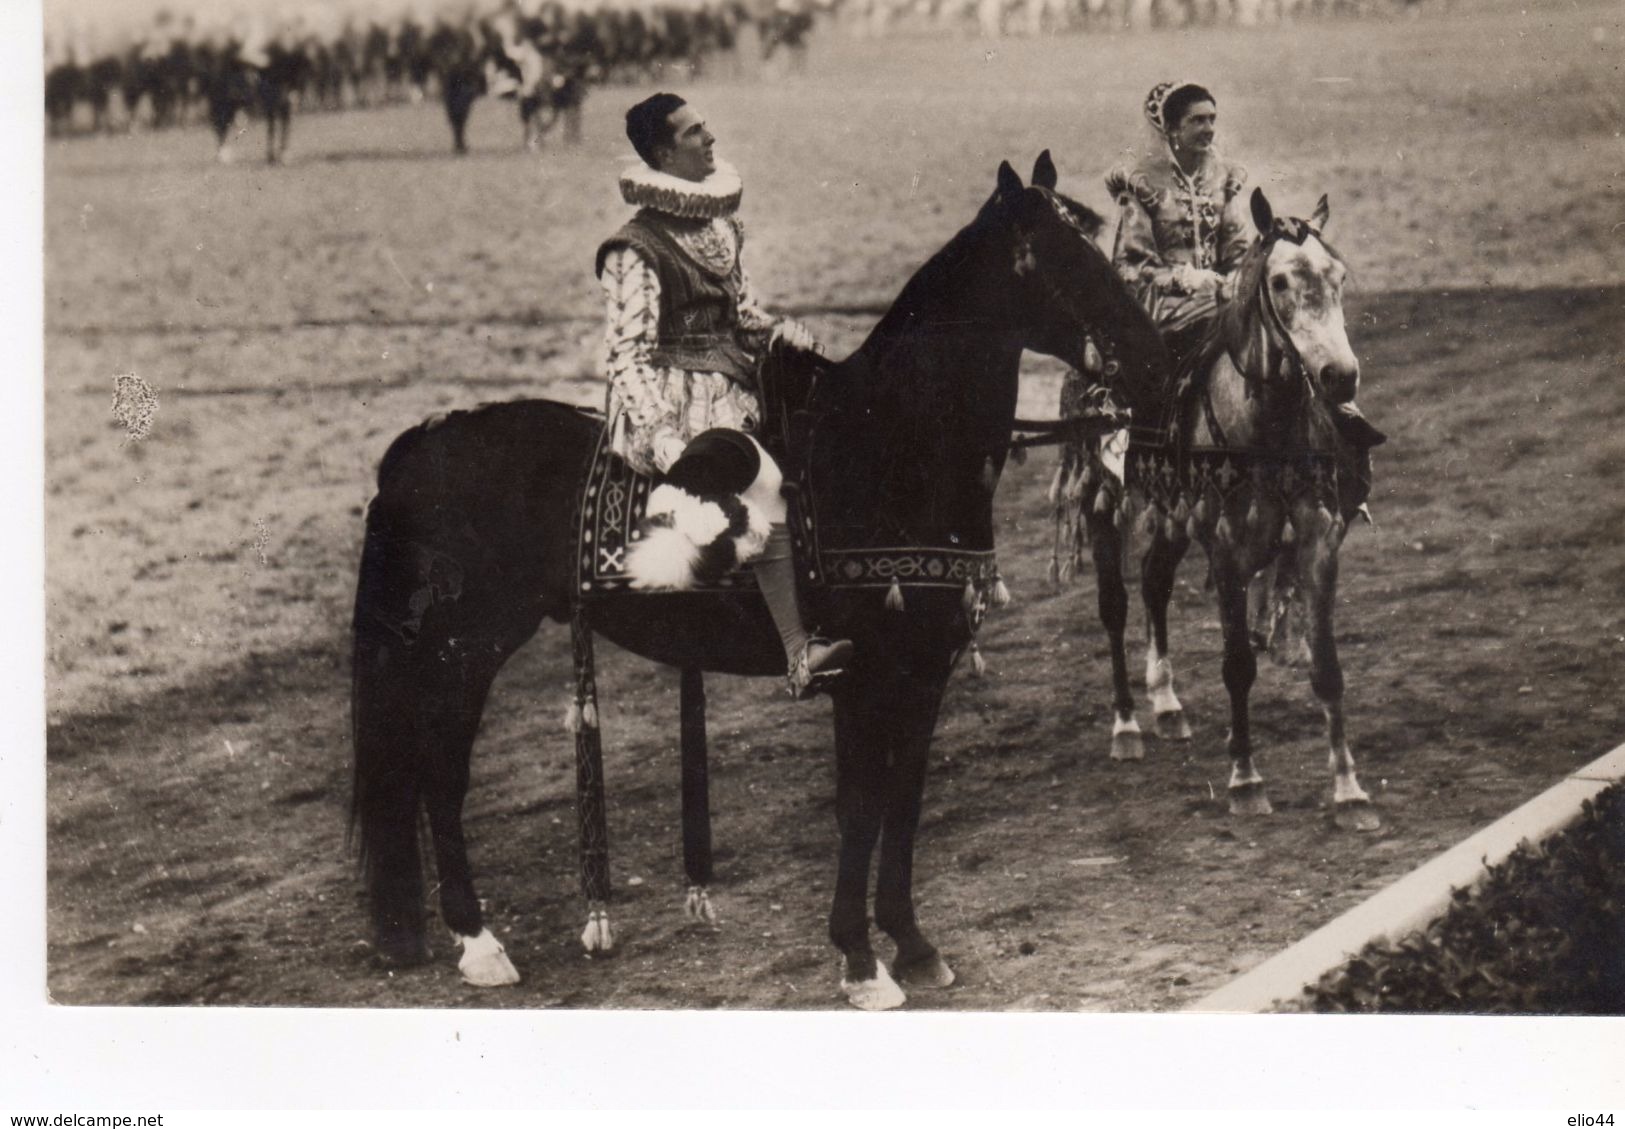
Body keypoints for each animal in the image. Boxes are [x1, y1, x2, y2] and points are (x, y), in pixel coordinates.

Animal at [352, 154, 1170, 1013]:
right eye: (1053, 258)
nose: (1154, 363)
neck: (886, 445)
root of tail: (425, 438)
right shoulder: (864, 679)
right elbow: (860, 807)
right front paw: (859, 959)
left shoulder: (922, 674)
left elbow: (905, 801)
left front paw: (912, 945)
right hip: (462, 652)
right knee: (438, 776)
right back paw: (478, 942)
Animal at [1053, 187, 1384, 831]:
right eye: (1280, 281)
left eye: (1337, 275)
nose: (1339, 377)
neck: (1266, 429)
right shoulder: (1227, 549)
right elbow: (1237, 666)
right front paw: (1245, 780)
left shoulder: (1316, 540)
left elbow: (1327, 667)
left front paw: (1349, 789)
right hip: (1103, 504)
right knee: (1115, 606)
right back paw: (1127, 724)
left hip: (1174, 520)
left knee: (1155, 583)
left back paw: (1166, 703)